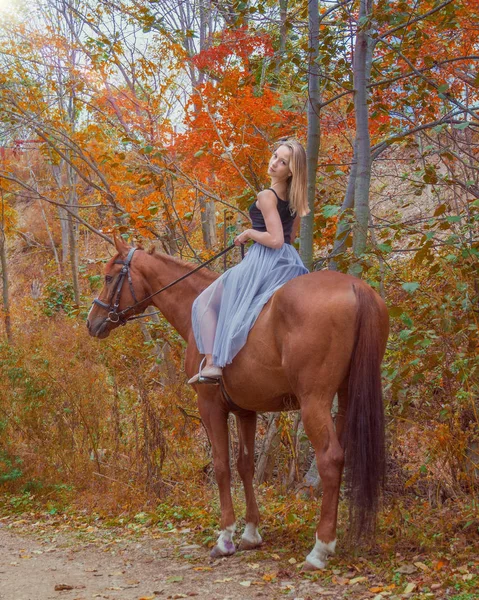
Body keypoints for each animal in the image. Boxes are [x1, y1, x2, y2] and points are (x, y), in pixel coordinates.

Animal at [87, 237, 390, 568]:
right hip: (347, 396)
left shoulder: (210, 407)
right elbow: (245, 465)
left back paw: (320, 548)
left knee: (330, 459)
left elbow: (222, 466)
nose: (92, 322)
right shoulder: (246, 410)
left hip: (315, 402)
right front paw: (251, 533)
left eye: (108, 277)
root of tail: (355, 287)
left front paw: (226, 537)